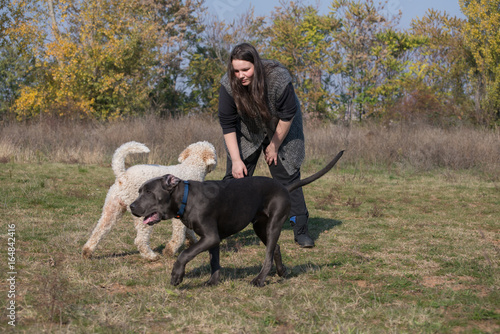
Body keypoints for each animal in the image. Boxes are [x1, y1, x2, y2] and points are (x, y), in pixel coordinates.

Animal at [82, 141, 217, 260]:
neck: (192, 166)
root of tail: (122, 175)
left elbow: (188, 231)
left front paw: (193, 242)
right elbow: (178, 235)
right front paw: (170, 251)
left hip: (112, 209)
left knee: (98, 231)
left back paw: (87, 252)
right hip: (143, 214)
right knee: (140, 240)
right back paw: (151, 256)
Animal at [130, 150, 344, 286]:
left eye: (149, 192)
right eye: (140, 191)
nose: (131, 206)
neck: (186, 197)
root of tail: (283, 187)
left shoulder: (209, 237)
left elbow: (184, 254)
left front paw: (177, 276)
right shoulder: (212, 239)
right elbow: (214, 261)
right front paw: (213, 282)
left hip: (274, 224)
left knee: (268, 255)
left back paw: (259, 280)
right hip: (260, 227)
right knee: (275, 248)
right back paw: (282, 272)